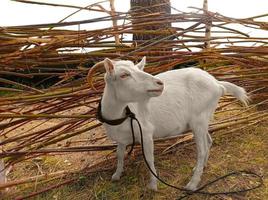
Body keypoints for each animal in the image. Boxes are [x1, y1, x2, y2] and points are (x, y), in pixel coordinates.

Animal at [87, 57, 248, 191]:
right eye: (124, 75)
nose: (159, 83)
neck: (122, 114)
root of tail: (217, 83)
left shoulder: (146, 133)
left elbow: (149, 158)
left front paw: (153, 185)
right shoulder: (120, 139)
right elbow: (119, 155)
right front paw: (116, 175)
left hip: (199, 120)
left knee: (201, 150)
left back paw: (192, 184)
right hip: (203, 120)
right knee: (208, 141)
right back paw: (201, 167)